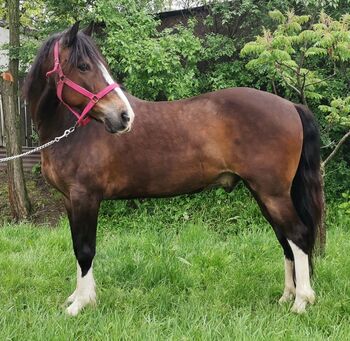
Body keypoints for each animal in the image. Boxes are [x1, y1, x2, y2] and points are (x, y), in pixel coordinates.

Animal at [23, 23, 322, 316]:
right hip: (264, 193)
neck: (73, 133)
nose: (124, 116)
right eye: (84, 66)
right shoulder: (70, 200)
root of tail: (291, 106)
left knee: (298, 235)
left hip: (273, 194)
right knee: (285, 240)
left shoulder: (85, 197)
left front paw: (81, 305)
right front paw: (77, 297)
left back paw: (301, 301)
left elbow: (85, 250)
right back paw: (287, 296)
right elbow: (77, 247)